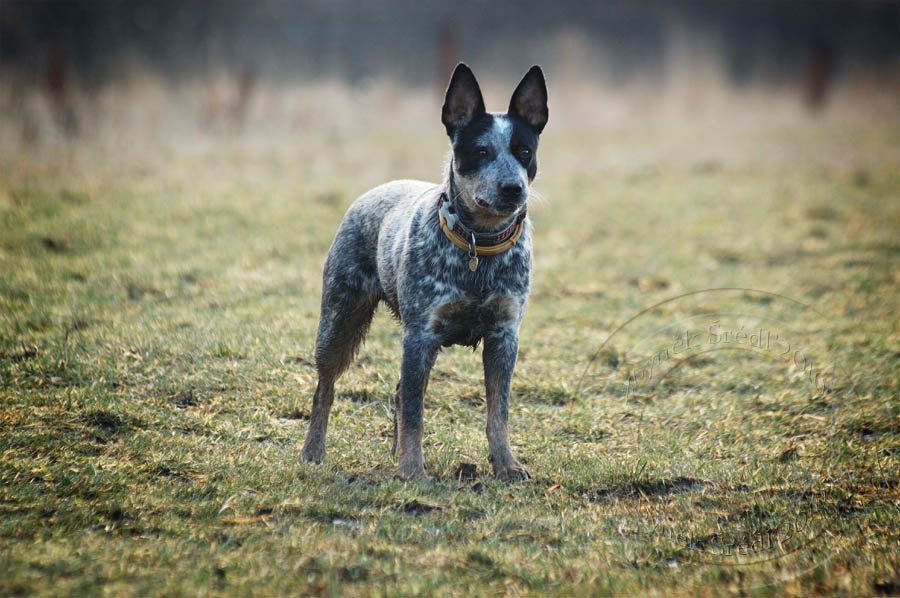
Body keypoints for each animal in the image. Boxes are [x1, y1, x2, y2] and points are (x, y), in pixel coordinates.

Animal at [300, 62, 548, 482]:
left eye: (524, 151)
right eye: (481, 151)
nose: (513, 188)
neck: (478, 247)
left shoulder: (504, 336)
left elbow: (498, 412)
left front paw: (507, 464)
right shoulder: (420, 335)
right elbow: (416, 411)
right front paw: (413, 470)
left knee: (400, 391)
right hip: (339, 320)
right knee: (326, 388)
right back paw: (313, 451)